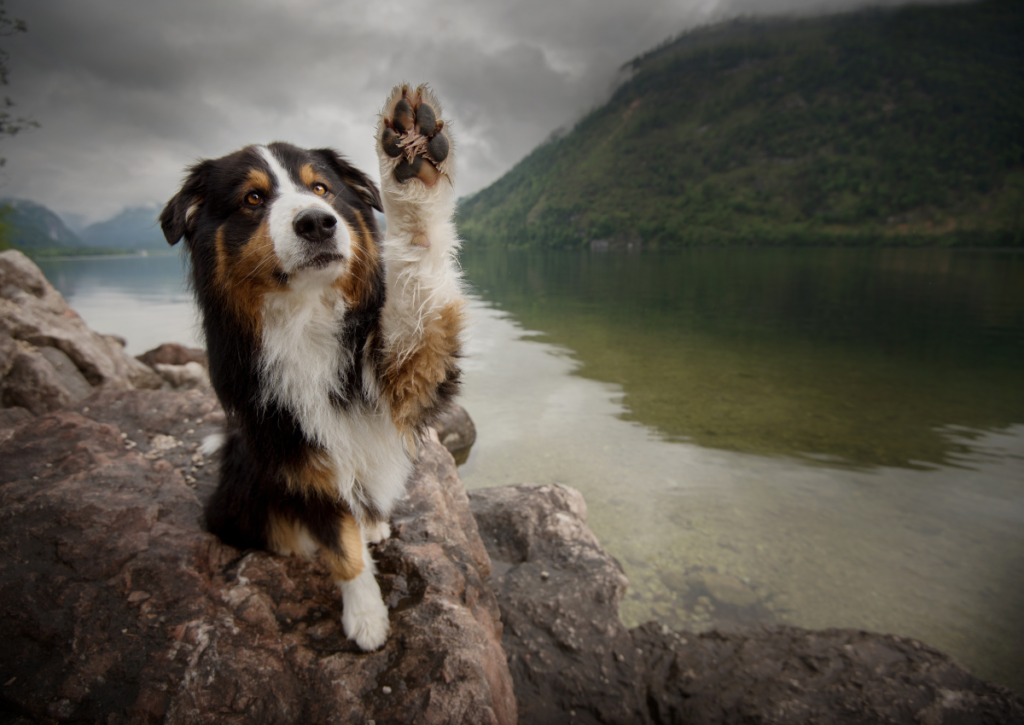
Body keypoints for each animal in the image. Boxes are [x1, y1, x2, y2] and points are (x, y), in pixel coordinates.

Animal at [158, 84, 464, 651]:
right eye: (253, 199)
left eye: (321, 188)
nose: (319, 221)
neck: (306, 313)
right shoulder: (298, 455)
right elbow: (340, 548)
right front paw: (366, 618)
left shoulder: (405, 368)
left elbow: (419, 275)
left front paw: (411, 163)